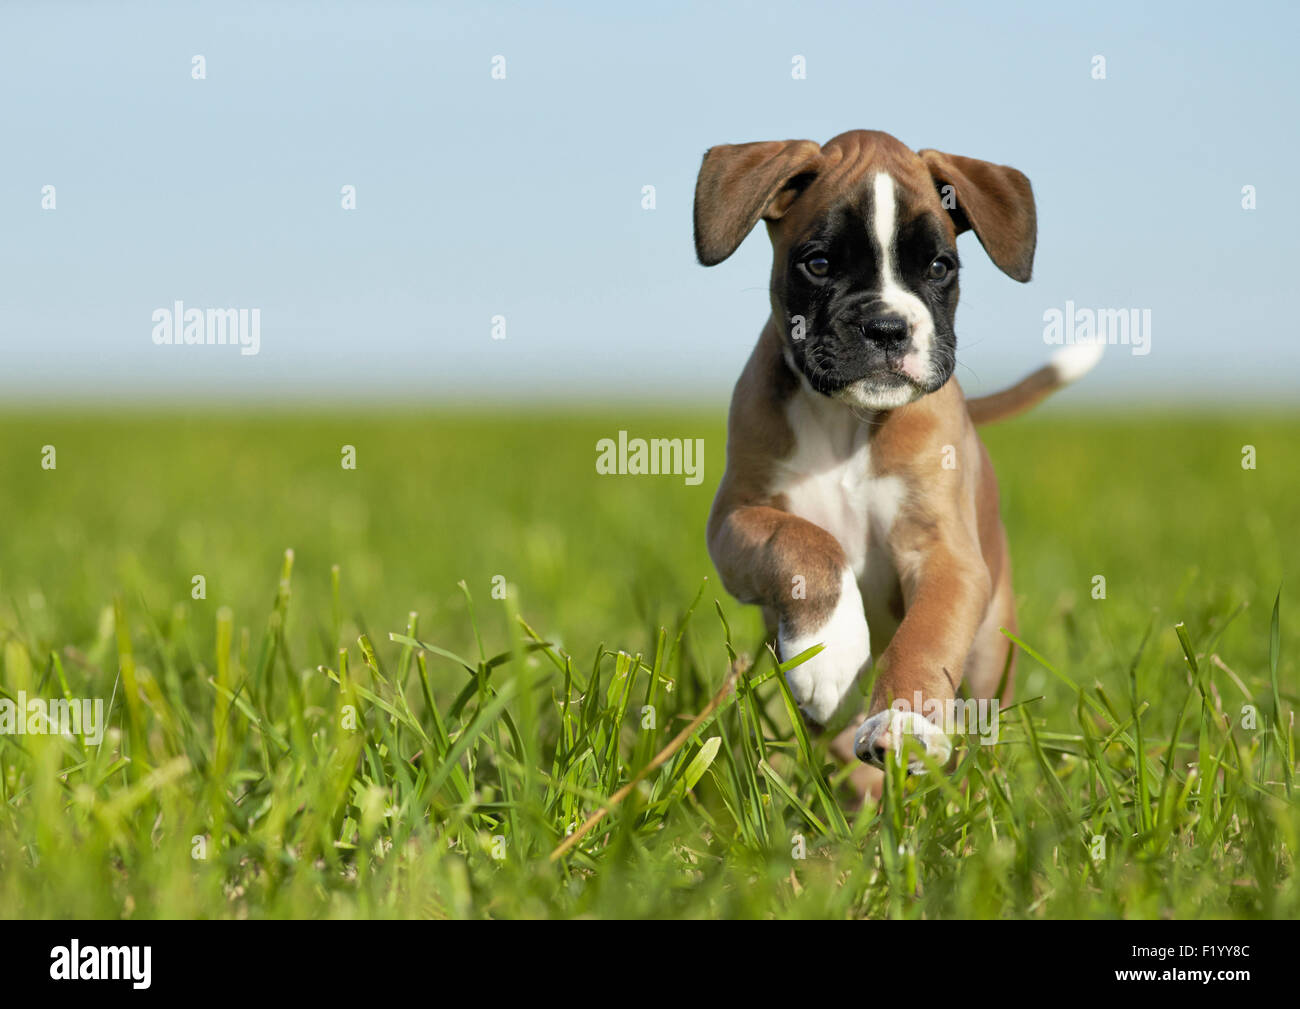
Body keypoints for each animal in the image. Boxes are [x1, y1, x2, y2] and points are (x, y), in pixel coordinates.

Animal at [696, 130, 1102, 774]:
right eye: (818, 264)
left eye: (939, 267)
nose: (887, 328)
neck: (848, 422)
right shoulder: (736, 519)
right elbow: (806, 543)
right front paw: (830, 653)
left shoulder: (946, 558)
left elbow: (925, 637)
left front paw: (904, 722)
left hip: (991, 656)